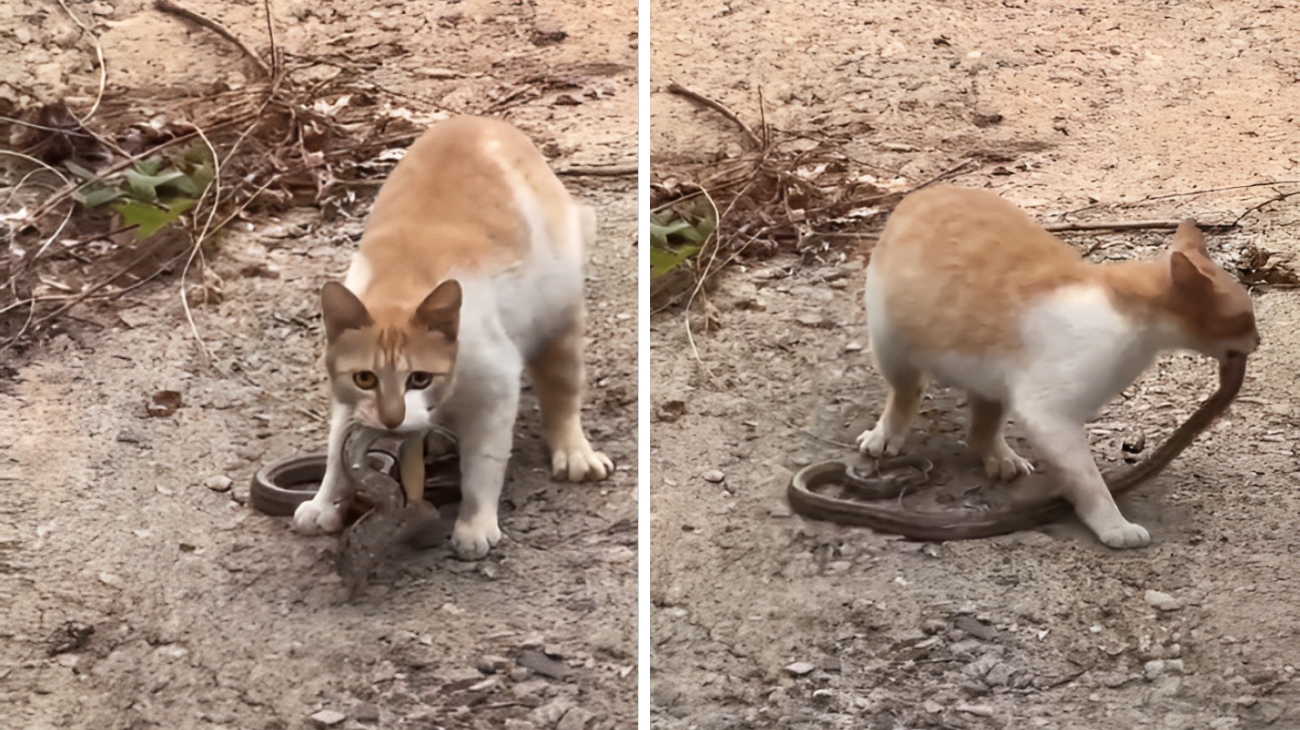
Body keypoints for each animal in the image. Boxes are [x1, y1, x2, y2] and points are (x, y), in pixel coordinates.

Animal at [293, 114, 613, 555]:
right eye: (365, 378)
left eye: (419, 378)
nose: (392, 419)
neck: (399, 286)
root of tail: (480, 119)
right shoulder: (348, 399)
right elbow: (335, 452)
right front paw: (325, 502)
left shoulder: (496, 386)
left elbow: (484, 463)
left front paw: (475, 525)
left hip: (557, 320)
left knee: (561, 396)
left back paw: (573, 451)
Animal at [857, 183, 1253, 545]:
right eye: (1245, 320)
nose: (1257, 340)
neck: (1135, 318)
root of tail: (926, 192)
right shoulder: (1049, 413)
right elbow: (1089, 481)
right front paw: (1115, 527)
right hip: (892, 346)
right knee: (906, 395)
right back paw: (885, 437)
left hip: (991, 378)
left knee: (982, 426)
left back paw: (1001, 457)